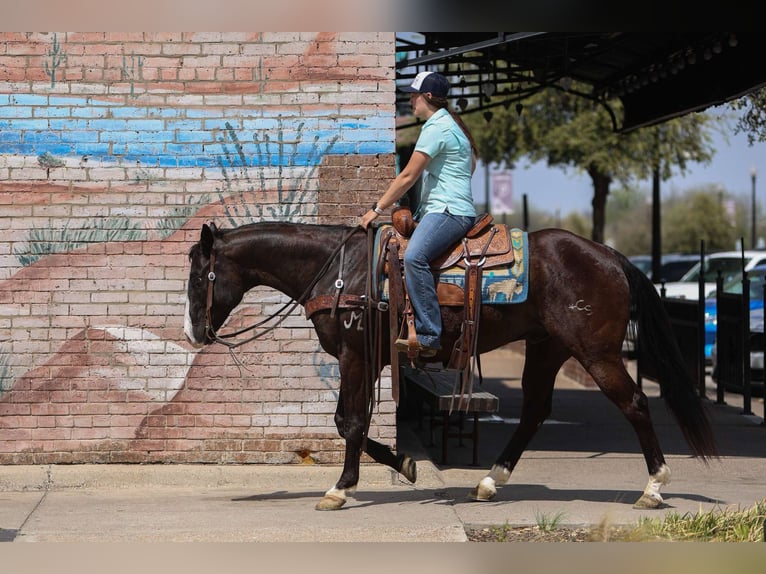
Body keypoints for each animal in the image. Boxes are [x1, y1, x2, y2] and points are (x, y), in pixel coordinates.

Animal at [184, 220, 718, 511]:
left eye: (198, 275)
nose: (193, 334)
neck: (338, 271)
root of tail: (609, 255)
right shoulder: (365, 360)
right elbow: (347, 422)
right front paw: (403, 463)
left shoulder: (357, 355)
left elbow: (351, 423)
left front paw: (340, 488)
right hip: (547, 348)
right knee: (534, 411)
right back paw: (490, 480)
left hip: (597, 352)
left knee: (635, 404)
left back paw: (654, 486)